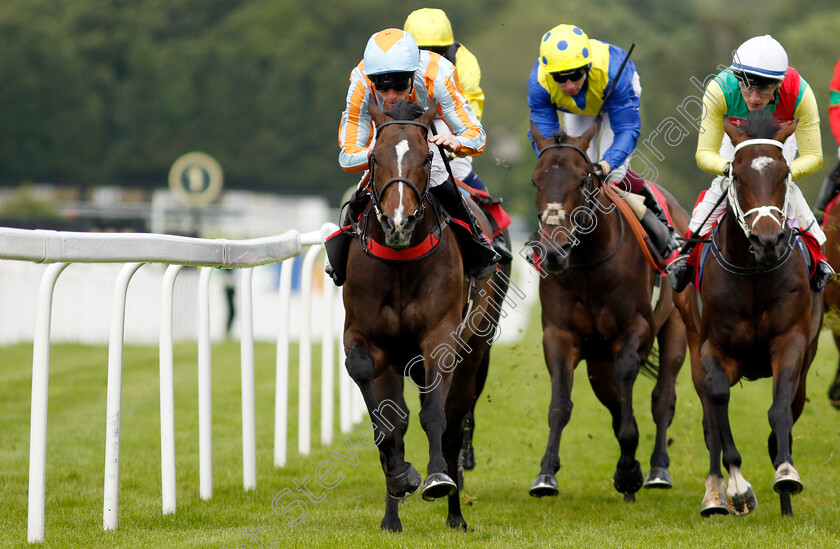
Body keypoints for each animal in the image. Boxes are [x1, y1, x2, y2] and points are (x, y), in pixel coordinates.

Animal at [342, 99, 512, 532]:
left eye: (427, 157)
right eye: (374, 157)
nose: (397, 223)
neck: (402, 261)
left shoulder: (441, 337)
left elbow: (434, 414)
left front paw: (436, 479)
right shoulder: (367, 340)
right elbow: (386, 419)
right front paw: (400, 478)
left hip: (473, 353)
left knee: (454, 423)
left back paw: (455, 513)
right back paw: (392, 515)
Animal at [532, 122, 688, 504]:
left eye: (582, 180)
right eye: (535, 181)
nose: (554, 251)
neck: (589, 262)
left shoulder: (635, 330)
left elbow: (631, 384)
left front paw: (631, 469)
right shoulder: (560, 336)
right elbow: (561, 405)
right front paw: (546, 473)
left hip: (675, 328)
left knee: (662, 397)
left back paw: (657, 470)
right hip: (598, 360)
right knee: (615, 399)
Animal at [680, 112, 824, 520]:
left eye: (784, 174)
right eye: (738, 176)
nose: (767, 240)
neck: (753, 273)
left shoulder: (791, 341)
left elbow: (781, 410)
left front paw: (786, 473)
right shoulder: (713, 348)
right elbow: (717, 401)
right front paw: (738, 488)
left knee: (790, 405)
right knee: (709, 416)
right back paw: (715, 496)